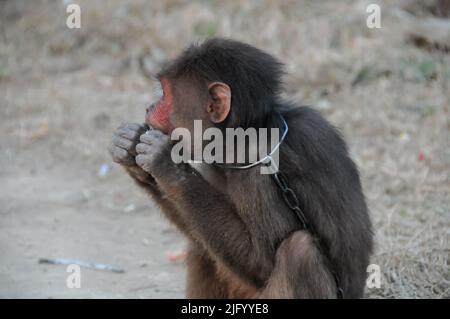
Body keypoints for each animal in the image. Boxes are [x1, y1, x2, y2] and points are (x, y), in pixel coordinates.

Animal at [109, 38, 372, 298]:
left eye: (164, 93)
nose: (150, 107)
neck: (248, 131)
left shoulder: (256, 169)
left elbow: (260, 262)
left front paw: (165, 164)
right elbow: (201, 233)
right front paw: (132, 151)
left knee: (299, 251)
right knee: (203, 246)